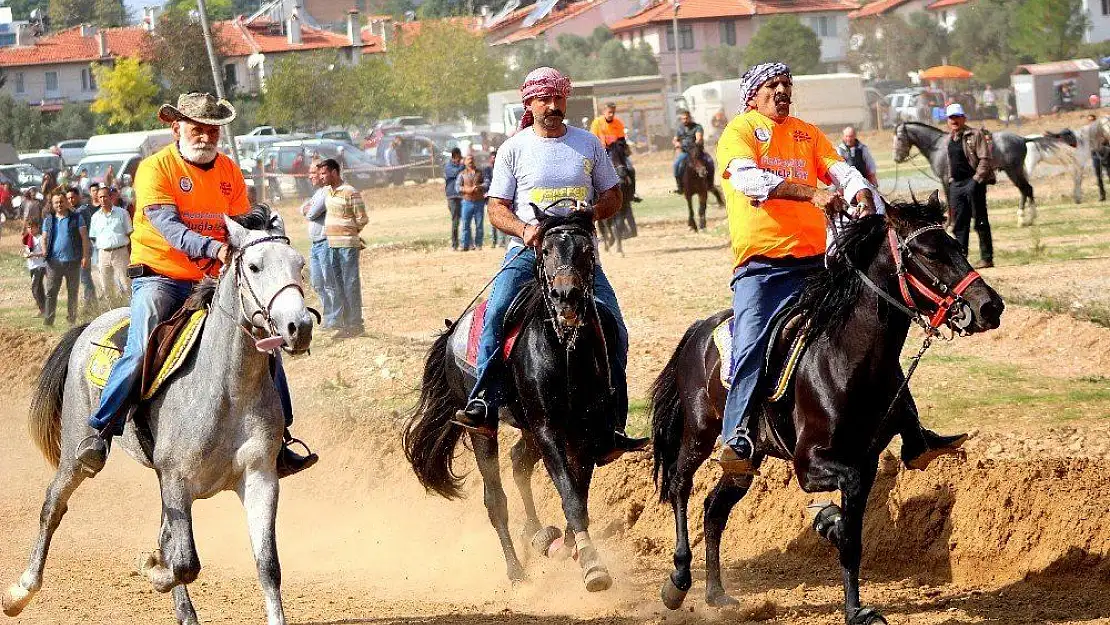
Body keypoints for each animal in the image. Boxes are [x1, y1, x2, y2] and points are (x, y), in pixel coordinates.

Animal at [4, 212, 317, 625]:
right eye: (254, 266)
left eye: (299, 265)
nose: (300, 327)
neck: (227, 389)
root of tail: (92, 324)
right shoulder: (177, 480)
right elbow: (184, 562)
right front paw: (151, 568)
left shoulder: (260, 478)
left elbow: (267, 566)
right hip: (75, 452)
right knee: (54, 503)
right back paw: (21, 591)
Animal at [404, 207, 626, 595]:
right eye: (546, 250)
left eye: (587, 251)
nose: (566, 295)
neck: (565, 351)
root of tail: (452, 332)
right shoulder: (548, 428)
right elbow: (569, 494)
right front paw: (592, 566)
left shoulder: (584, 433)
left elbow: (577, 493)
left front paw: (570, 547)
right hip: (485, 428)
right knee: (495, 499)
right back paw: (516, 570)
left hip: (527, 429)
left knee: (519, 461)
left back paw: (538, 536)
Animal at [648, 193, 1007, 621]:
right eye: (930, 253)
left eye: (957, 245)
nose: (990, 306)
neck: (845, 358)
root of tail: (698, 331)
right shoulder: (811, 465)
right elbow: (848, 531)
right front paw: (836, 549)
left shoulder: (865, 463)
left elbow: (854, 534)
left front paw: (850, 591)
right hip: (699, 434)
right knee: (679, 485)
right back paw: (678, 580)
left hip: (746, 462)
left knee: (714, 508)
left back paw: (716, 593)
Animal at [892, 121, 1038, 226]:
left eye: (899, 138)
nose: (897, 158)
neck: (938, 147)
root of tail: (1022, 139)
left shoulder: (945, 180)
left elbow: (949, 200)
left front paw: (950, 224)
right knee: (1025, 190)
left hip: (1013, 171)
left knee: (1026, 189)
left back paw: (1027, 218)